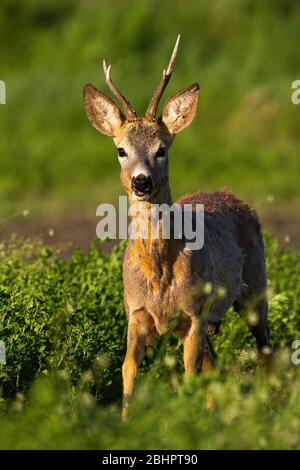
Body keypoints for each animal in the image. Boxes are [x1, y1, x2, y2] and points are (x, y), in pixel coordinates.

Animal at [83, 35, 274, 414]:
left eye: (162, 149)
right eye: (120, 150)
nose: (141, 182)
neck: (159, 274)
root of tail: (229, 194)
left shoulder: (195, 314)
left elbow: (188, 374)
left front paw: (187, 417)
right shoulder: (135, 313)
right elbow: (127, 369)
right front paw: (125, 418)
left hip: (254, 288)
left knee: (265, 349)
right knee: (215, 364)